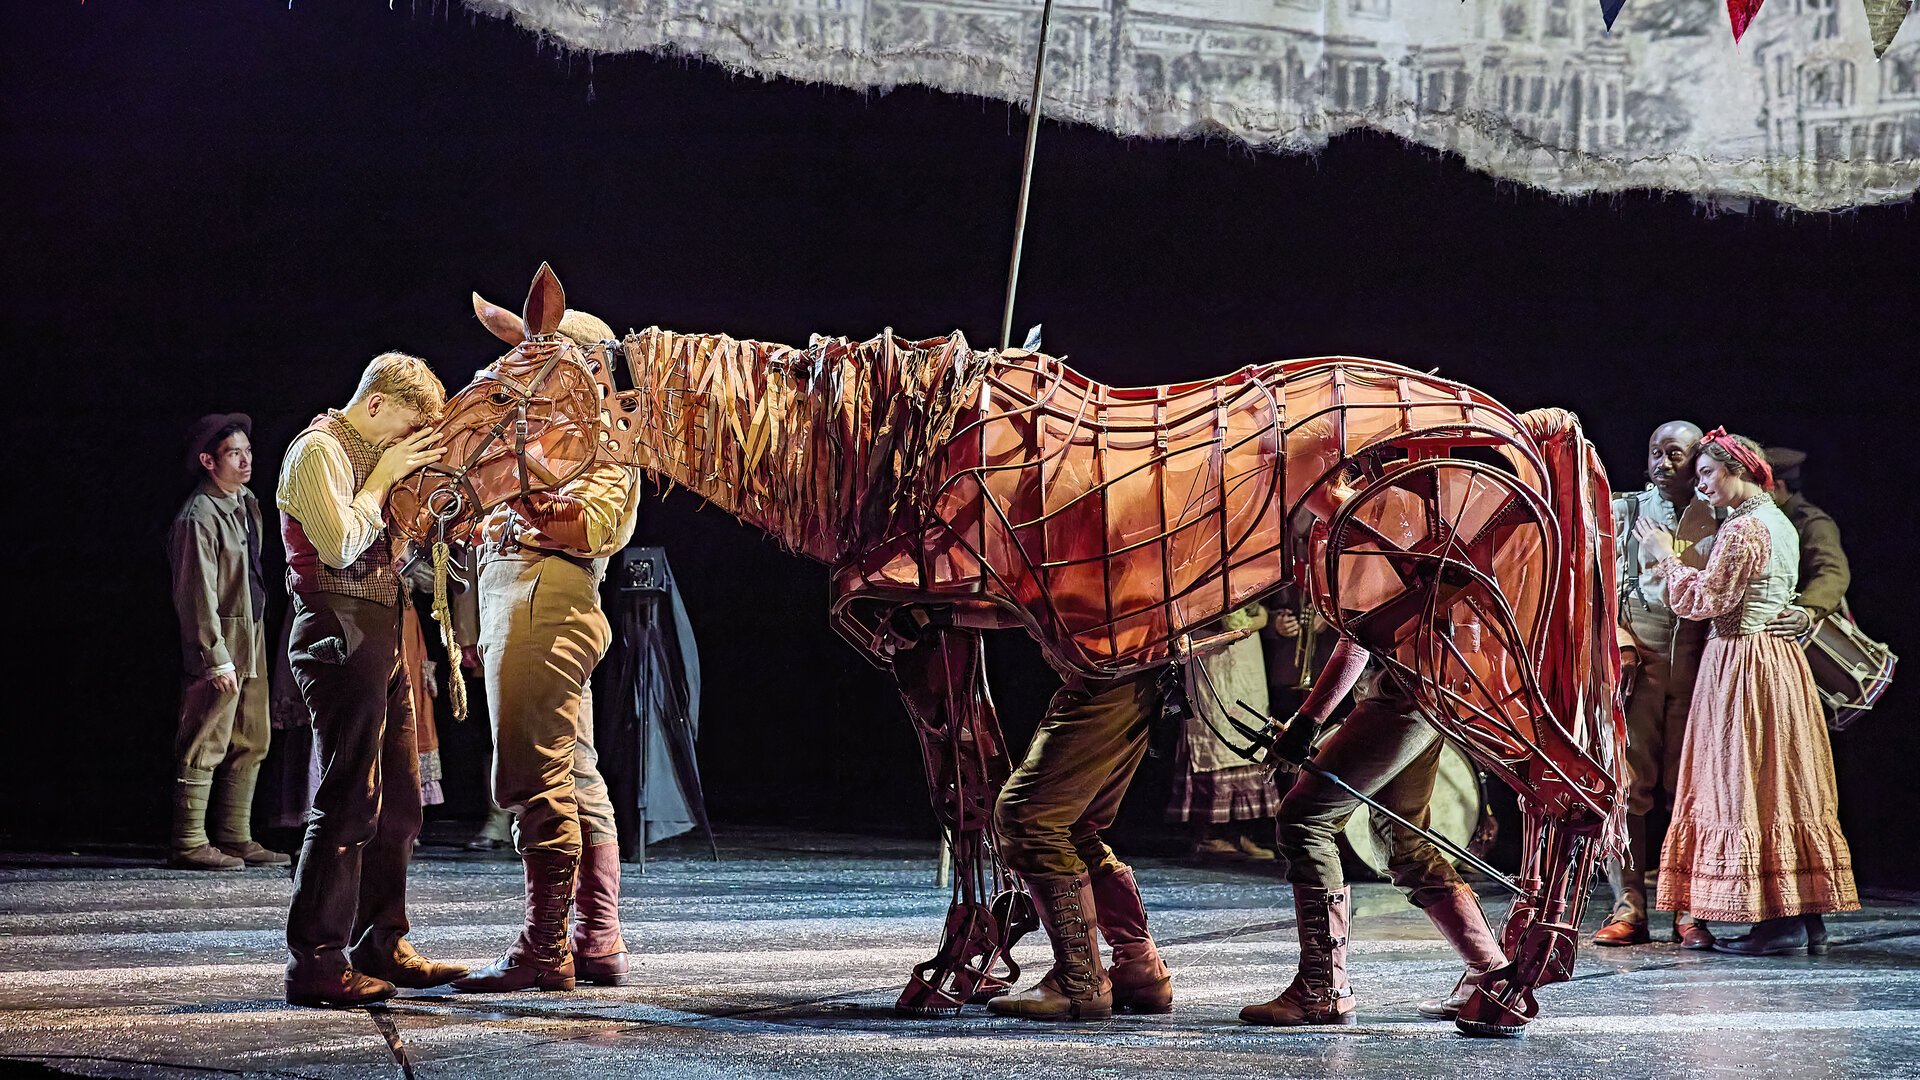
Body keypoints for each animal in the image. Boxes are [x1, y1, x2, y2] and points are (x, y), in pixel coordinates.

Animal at [393, 264, 1627, 1036]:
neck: (879, 448)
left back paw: (1511, 993)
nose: (411, 500)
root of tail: (1520, 422)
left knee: (1573, 790)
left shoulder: (918, 633)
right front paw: (1006, 954)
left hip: (1451, 640)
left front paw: (957, 969)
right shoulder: (960, 636)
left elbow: (965, 799)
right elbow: (988, 795)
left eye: (509, 397)